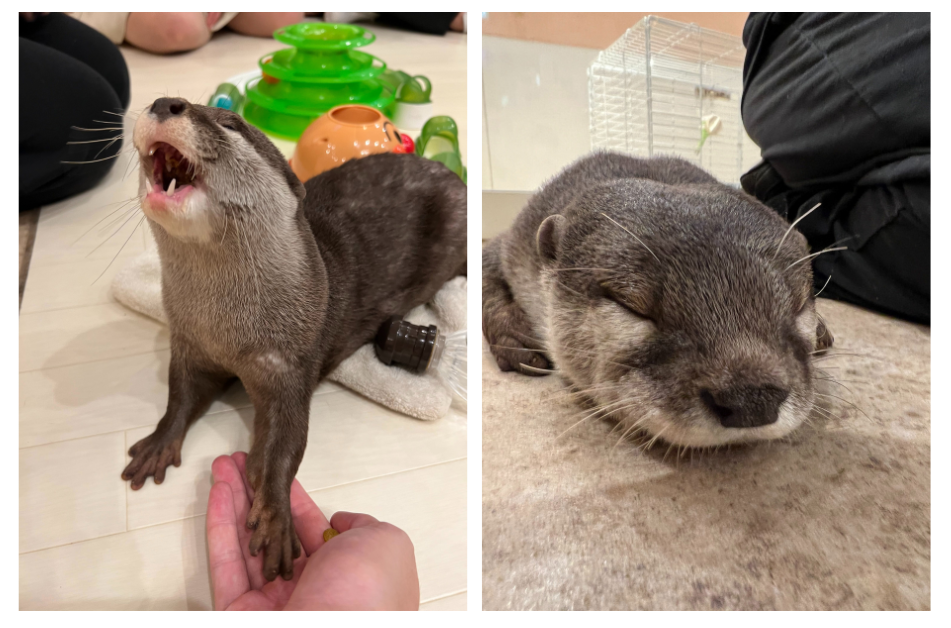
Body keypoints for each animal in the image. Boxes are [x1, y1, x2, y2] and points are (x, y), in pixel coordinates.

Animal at [121, 98, 467, 581]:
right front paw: (159, 441)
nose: (165, 102)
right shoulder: (190, 342)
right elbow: (181, 393)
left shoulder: (291, 364)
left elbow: (287, 442)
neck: (231, 329)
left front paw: (273, 516)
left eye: (232, 124)